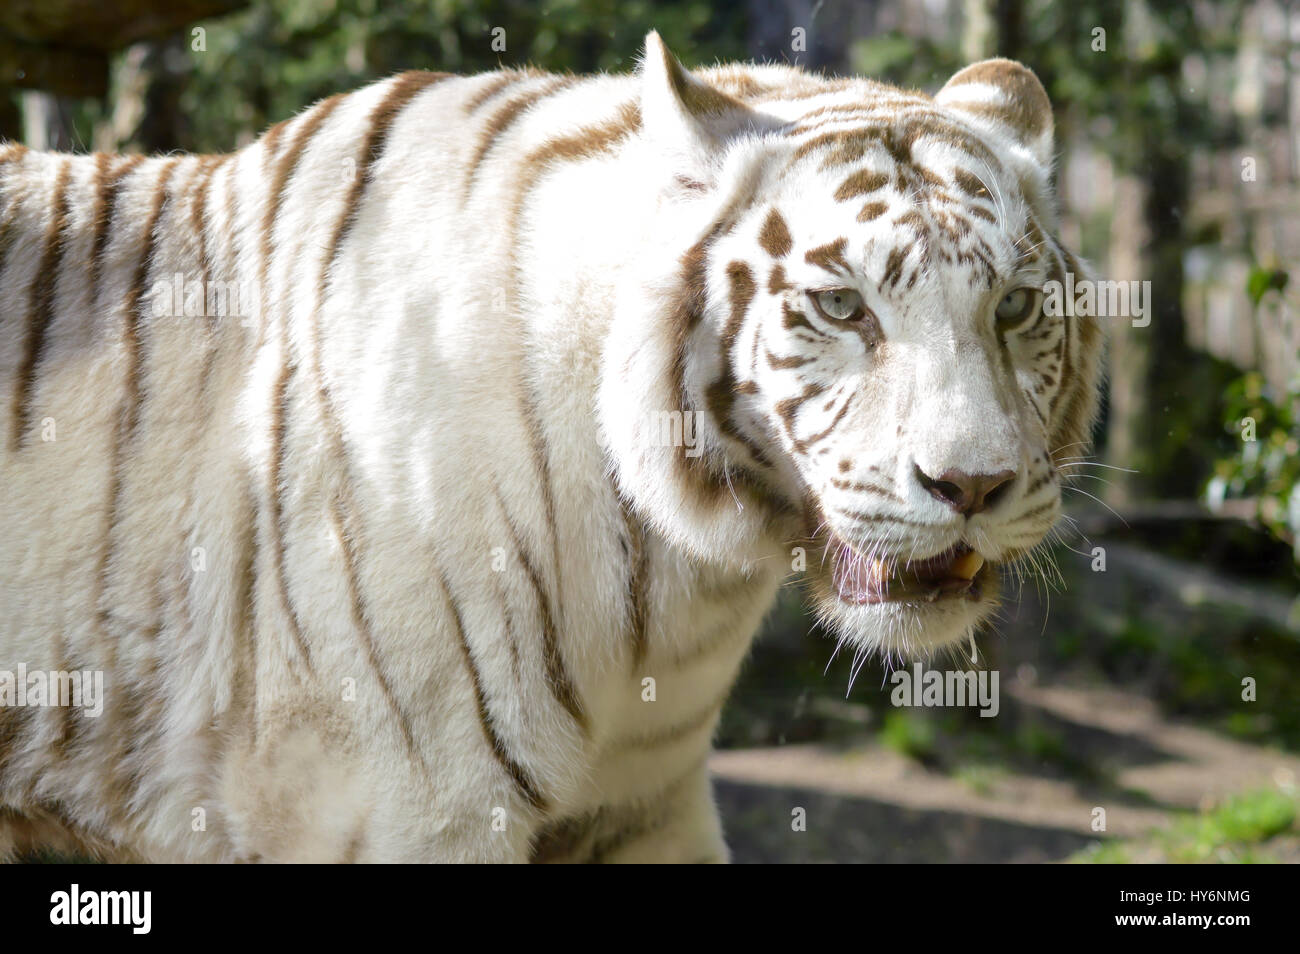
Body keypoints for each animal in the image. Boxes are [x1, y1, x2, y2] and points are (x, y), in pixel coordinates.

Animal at [0, 32, 1102, 863]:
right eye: (842, 306)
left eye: (1014, 307)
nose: (973, 485)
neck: (676, 579)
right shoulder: (400, 810)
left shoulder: (644, 804)